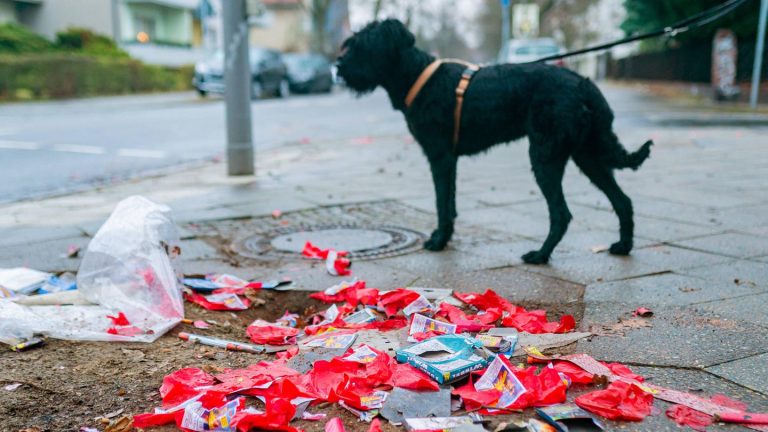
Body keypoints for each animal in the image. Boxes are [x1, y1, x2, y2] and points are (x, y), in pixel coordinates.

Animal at [338, 19, 656, 264]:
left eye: (362, 46)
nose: (338, 67)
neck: (418, 77)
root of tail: (585, 85)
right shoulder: (449, 160)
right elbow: (450, 203)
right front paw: (446, 237)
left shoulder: (439, 156)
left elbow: (441, 203)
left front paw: (439, 241)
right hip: (587, 156)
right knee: (622, 201)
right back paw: (623, 246)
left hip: (545, 157)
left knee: (562, 214)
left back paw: (540, 255)